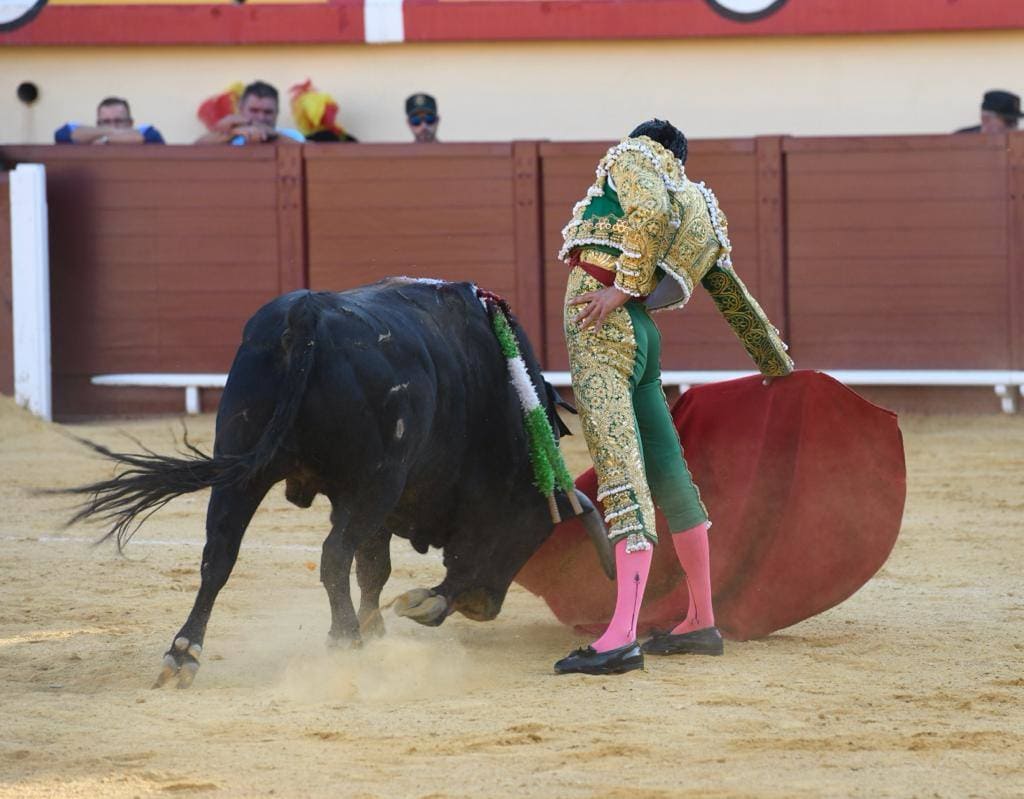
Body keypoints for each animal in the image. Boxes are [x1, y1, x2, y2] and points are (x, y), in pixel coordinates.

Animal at [68, 278, 610, 688]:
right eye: (527, 532)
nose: (483, 608)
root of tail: (304, 316)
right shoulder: (386, 492)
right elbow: (375, 566)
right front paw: (395, 618)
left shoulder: (379, 501)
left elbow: (372, 568)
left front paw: (380, 626)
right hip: (369, 484)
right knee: (331, 555)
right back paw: (345, 640)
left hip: (241, 468)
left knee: (219, 555)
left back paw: (184, 655)